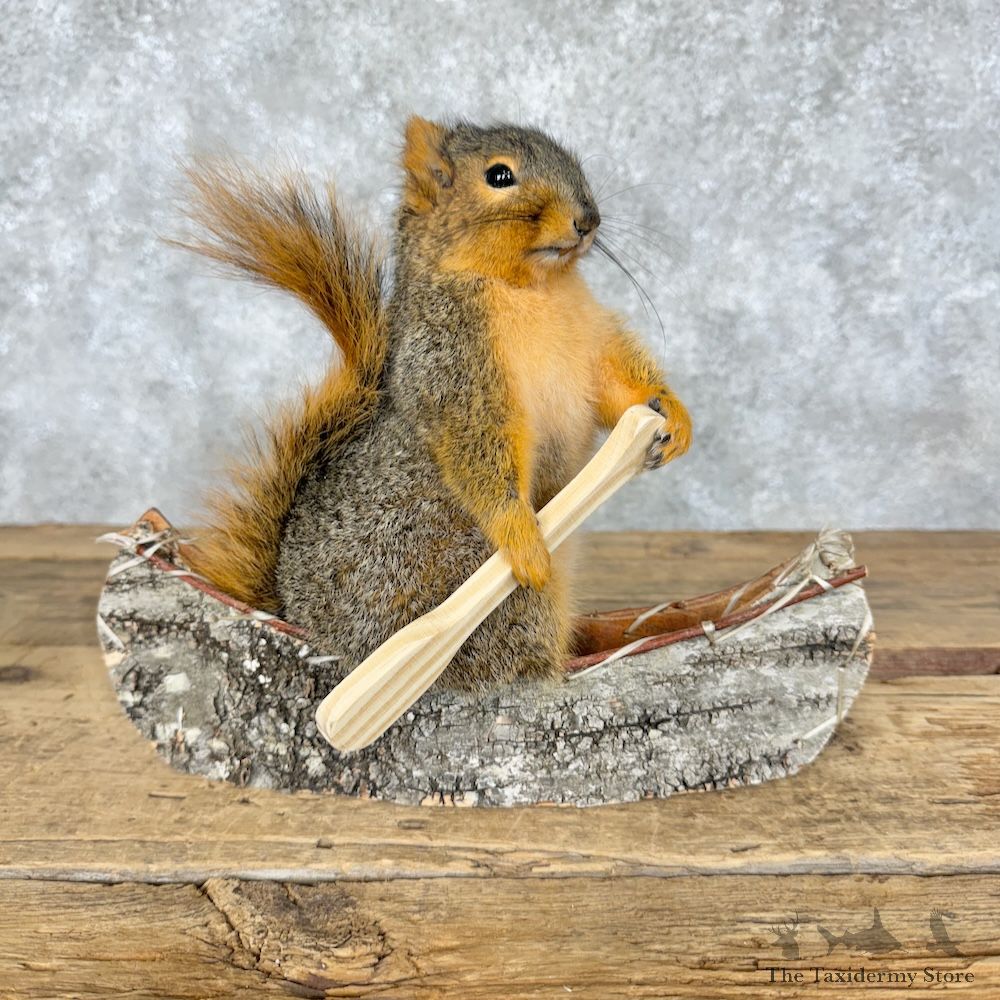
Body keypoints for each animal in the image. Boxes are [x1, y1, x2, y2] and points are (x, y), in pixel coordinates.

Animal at [179, 117, 691, 692]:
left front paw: (672, 416)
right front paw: (521, 537)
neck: (533, 289)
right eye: (499, 175)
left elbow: (618, 385)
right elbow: (477, 446)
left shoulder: (591, 345)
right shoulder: (452, 364)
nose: (588, 220)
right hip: (490, 595)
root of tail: (298, 613)